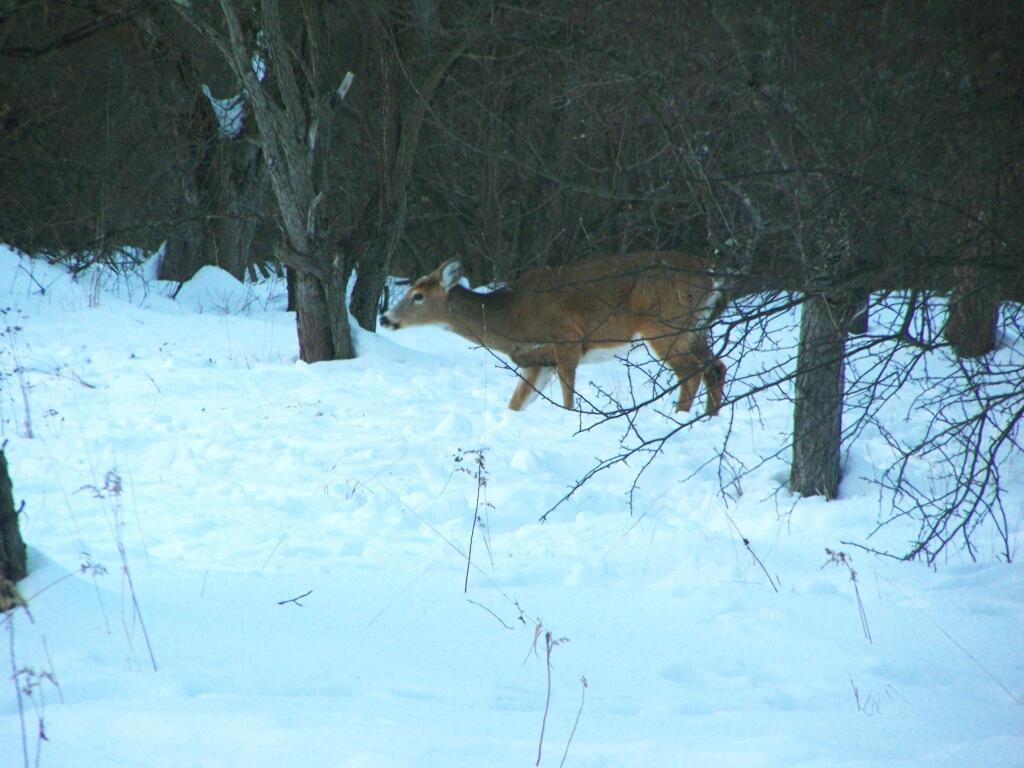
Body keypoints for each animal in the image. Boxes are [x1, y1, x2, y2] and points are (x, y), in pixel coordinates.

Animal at [379, 251, 726, 415]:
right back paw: (708, 417)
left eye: (417, 296)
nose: (384, 318)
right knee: (716, 367)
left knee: (692, 371)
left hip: (666, 325)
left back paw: (680, 416)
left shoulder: (567, 339)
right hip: (697, 328)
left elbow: (568, 401)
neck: (509, 321)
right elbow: (515, 405)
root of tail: (711, 273)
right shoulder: (536, 359)